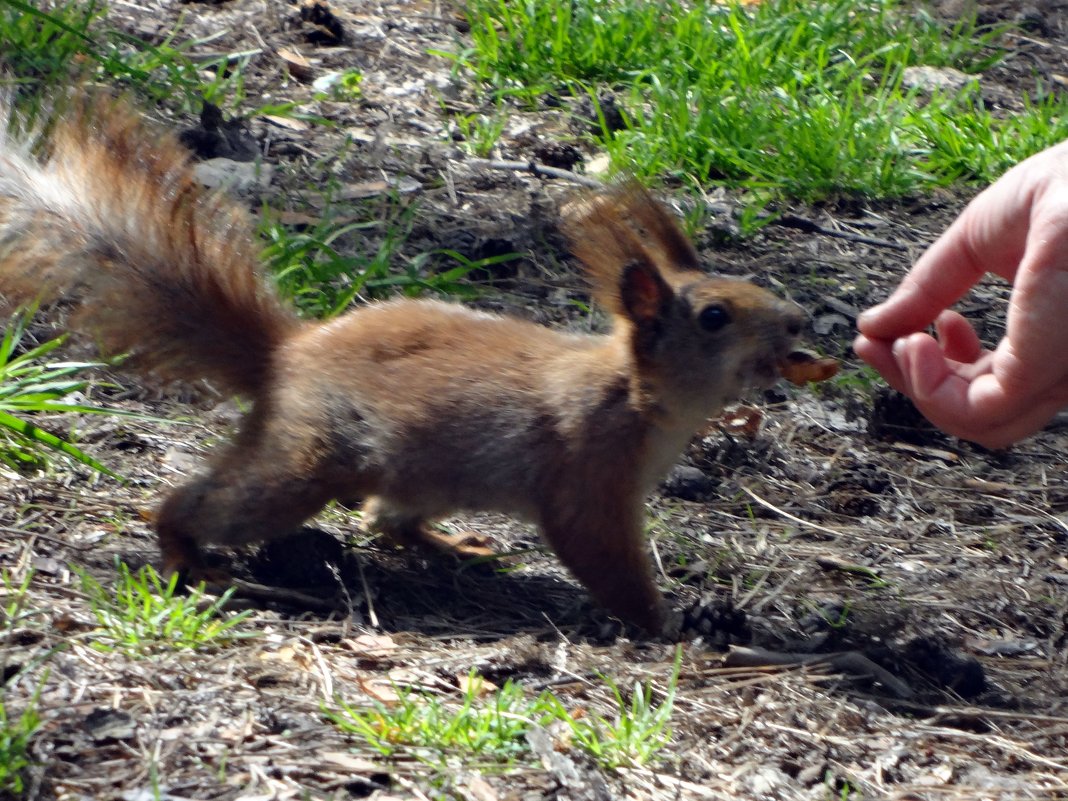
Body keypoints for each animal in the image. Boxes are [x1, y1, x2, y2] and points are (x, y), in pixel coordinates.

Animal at [0, 95, 807, 632]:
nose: (800, 322)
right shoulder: (589, 472)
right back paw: (186, 553)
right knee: (204, 505)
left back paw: (456, 545)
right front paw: (667, 624)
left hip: (424, 472)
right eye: (715, 316)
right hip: (304, 462)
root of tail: (286, 356)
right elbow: (602, 556)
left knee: (387, 518)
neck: (641, 397)